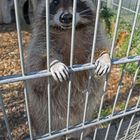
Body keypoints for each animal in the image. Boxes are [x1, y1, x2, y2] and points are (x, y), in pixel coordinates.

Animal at [26, 0, 111, 139]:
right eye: (55, 2)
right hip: (44, 119)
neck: (68, 31)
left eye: (77, 2)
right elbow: (38, 66)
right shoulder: (40, 43)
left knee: (80, 129)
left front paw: (104, 56)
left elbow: (100, 47)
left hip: (83, 118)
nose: (66, 17)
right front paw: (53, 63)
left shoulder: (94, 36)